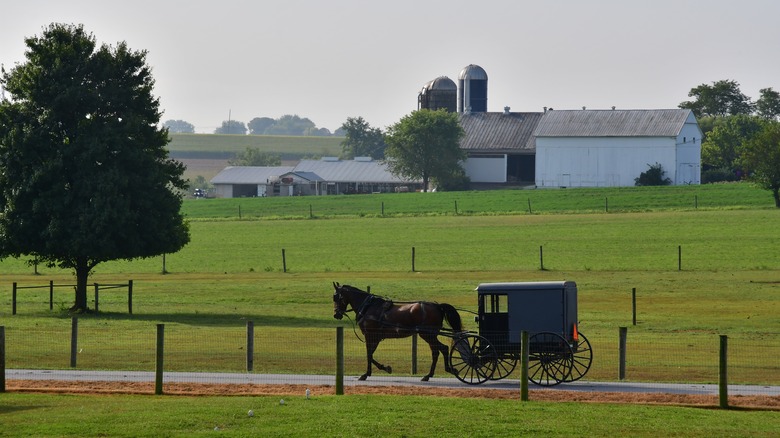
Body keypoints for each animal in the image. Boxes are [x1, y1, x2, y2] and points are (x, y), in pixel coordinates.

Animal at [330, 282, 464, 382]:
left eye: (336, 297)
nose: (336, 314)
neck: (368, 307)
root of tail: (438, 306)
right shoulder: (375, 337)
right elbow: (371, 355)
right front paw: (382, 369)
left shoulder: (370, 335)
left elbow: (369, 355)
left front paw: (370, 373)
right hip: (430, 335)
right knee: (438, 351)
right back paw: (431, 374)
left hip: (427, 334)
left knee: (442, 349)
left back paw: (440, 372)